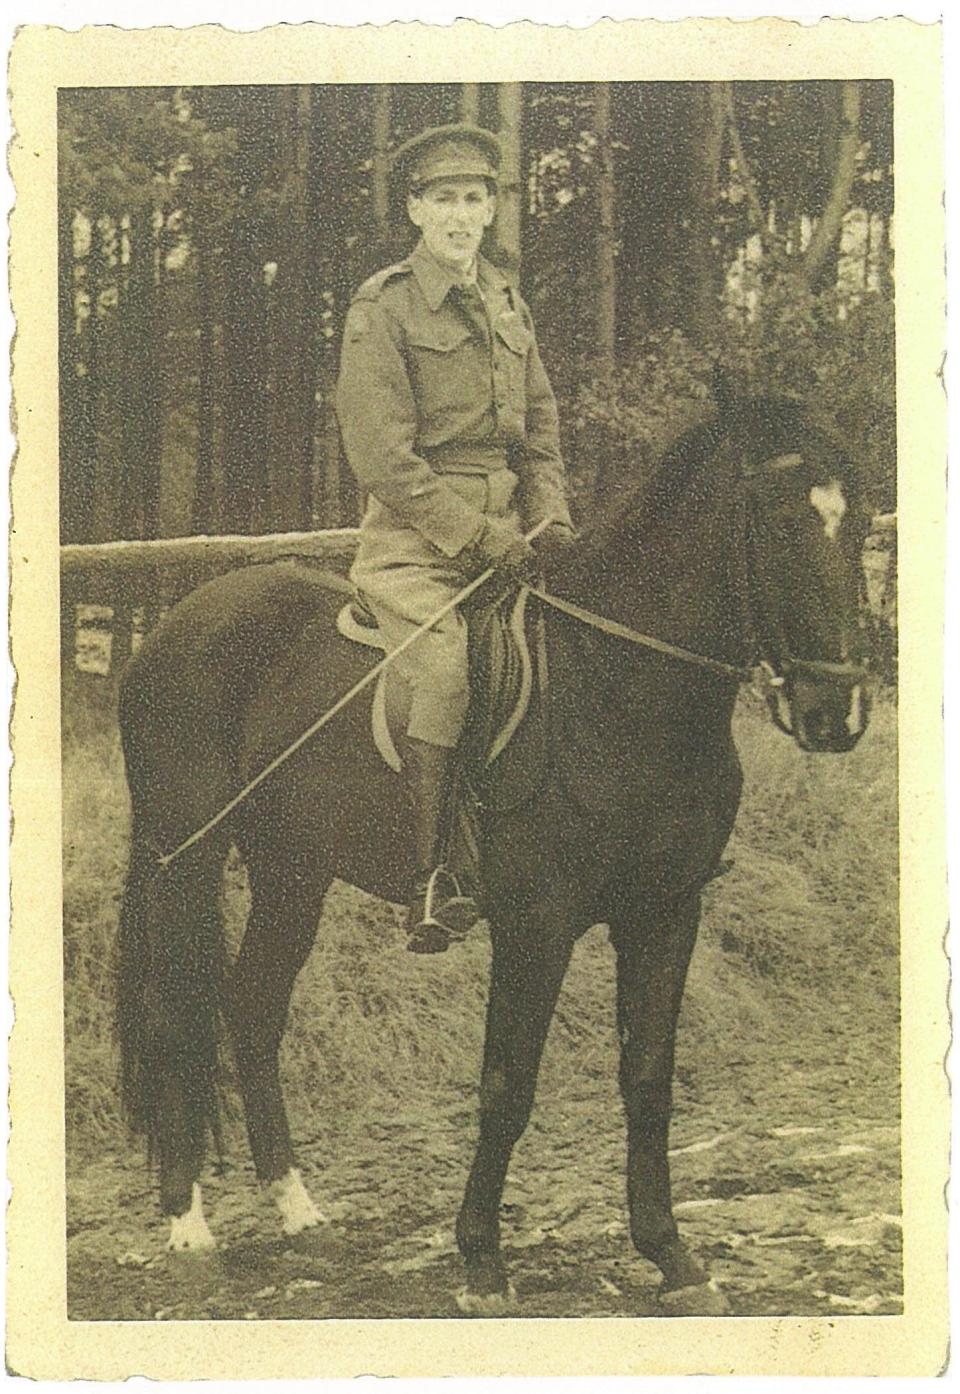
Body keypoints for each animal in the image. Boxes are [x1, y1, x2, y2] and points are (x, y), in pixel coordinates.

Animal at [114, 387, 869, 1310]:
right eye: (780, 519)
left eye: (859, 521)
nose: (837, 712)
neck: (614, 686)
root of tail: (178, 624)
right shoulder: (535, 926)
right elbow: (508, 1087)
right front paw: (481, 1260)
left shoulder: (664, 914)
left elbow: (649, 1079)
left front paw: (670, 1254)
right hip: (183, 858)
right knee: (175, 1014)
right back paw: (189, 1223)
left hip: (295, 870)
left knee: (253, 1008)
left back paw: (296, 1208)